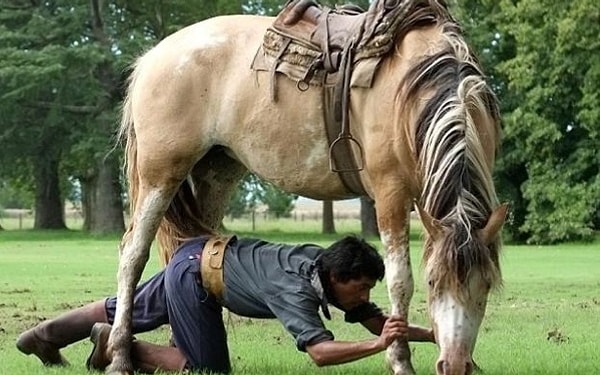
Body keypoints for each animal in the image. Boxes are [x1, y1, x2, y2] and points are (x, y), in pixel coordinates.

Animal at [106, 0, 506, 375]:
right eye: (434, 283)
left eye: (487, 286)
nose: (454, 365)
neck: (416, 88)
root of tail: (152, 57)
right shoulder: (390, 195)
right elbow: (399, 282)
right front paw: (401, 361)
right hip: (160, 174)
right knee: (132, 254)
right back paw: (120, 355)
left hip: (214, 174)